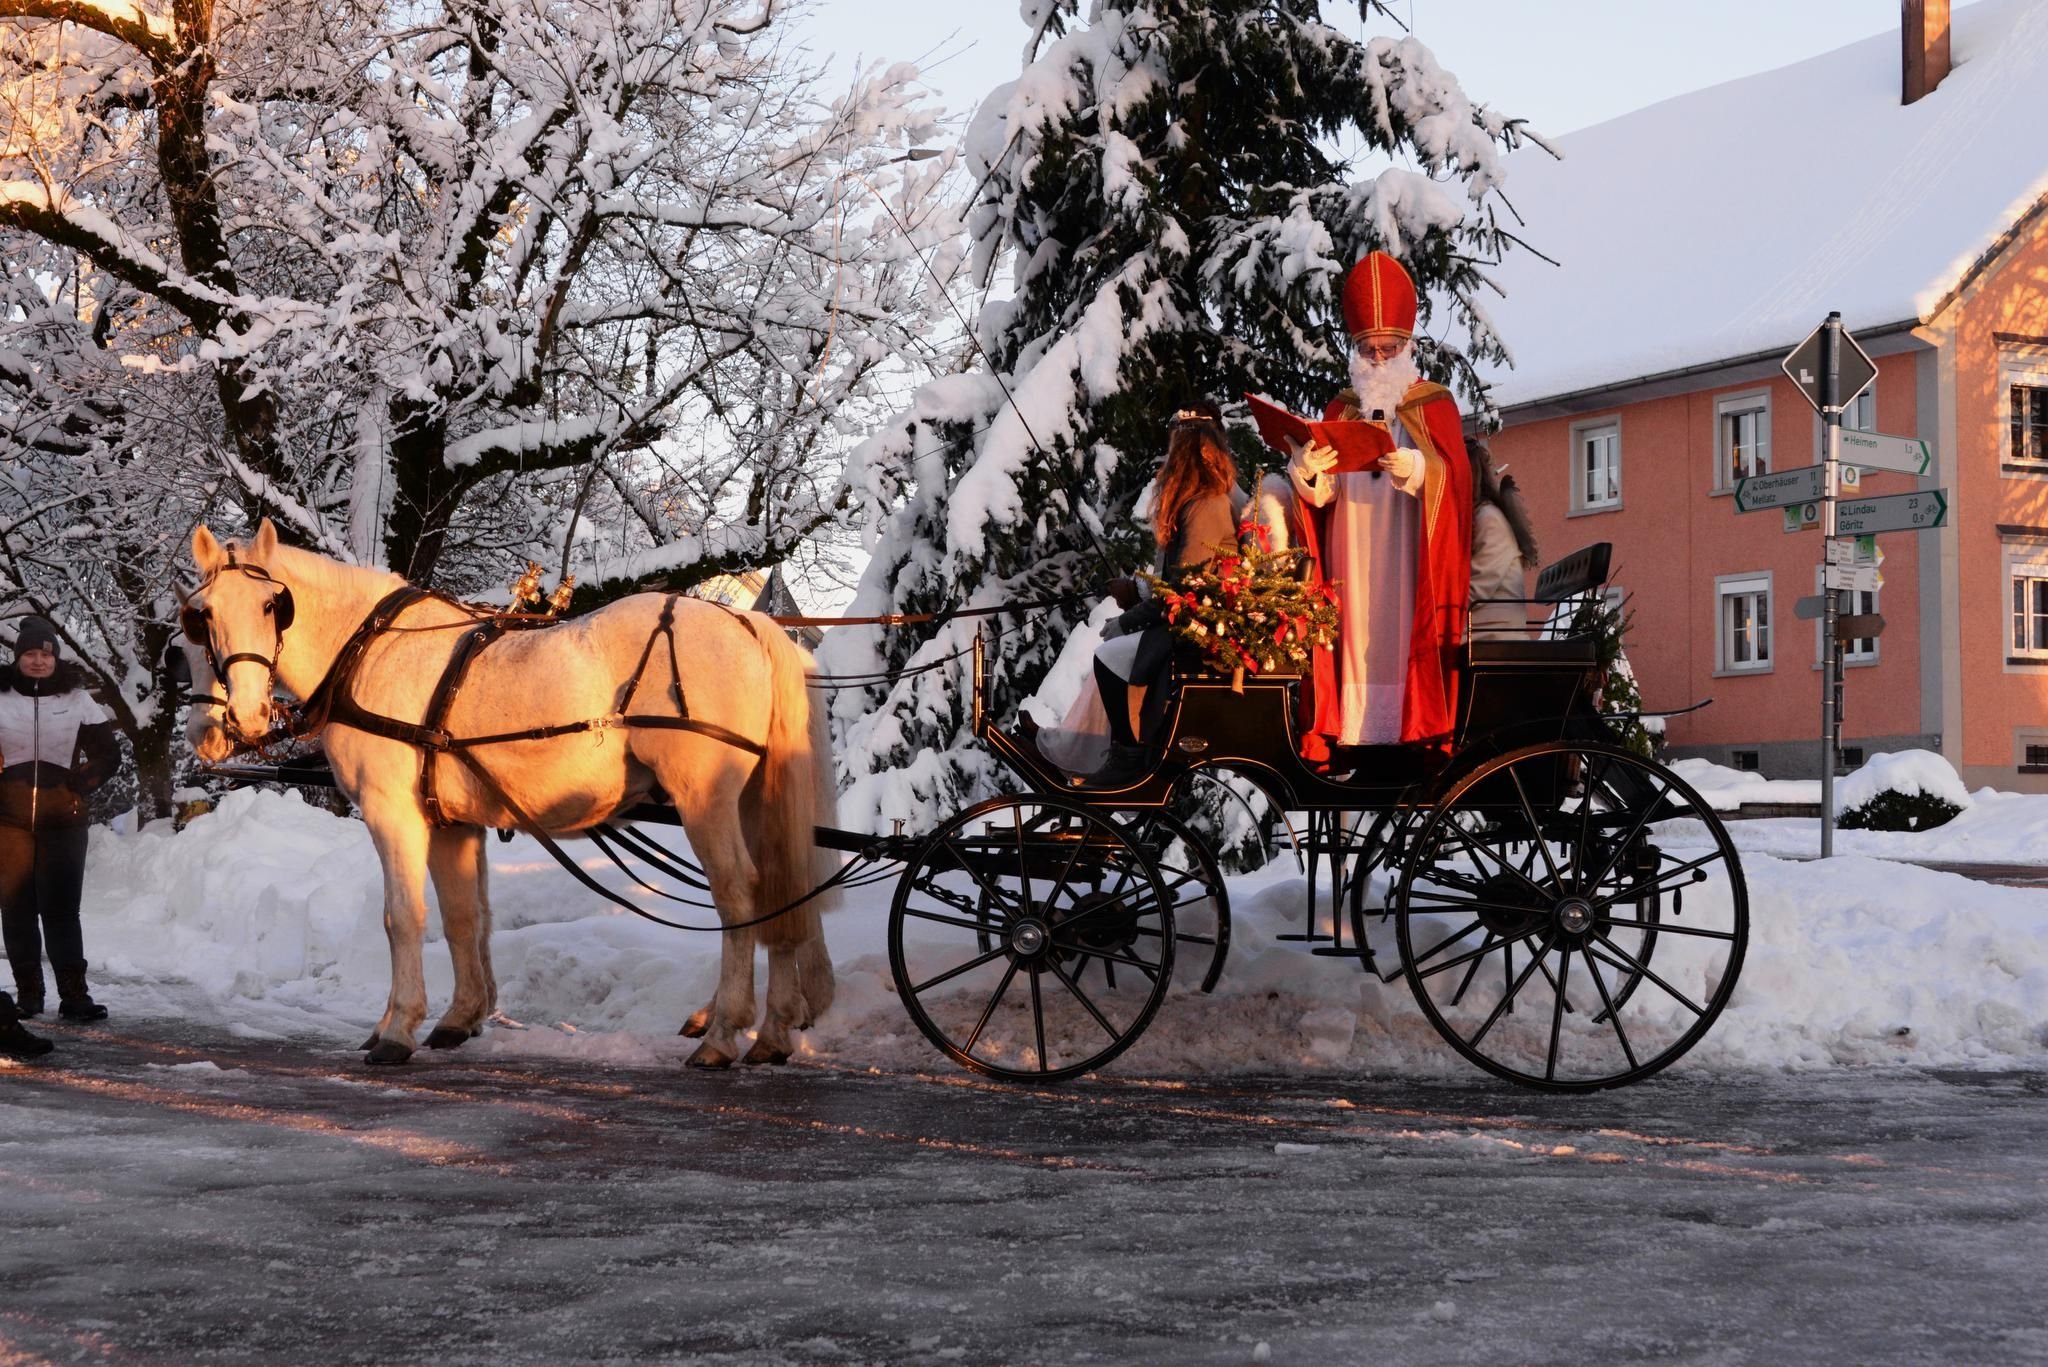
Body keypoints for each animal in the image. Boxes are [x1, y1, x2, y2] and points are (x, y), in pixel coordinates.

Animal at [184, 518, 835, 1065]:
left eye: (273, 606)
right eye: (201, 616)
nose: (230, 723)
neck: (369, 652)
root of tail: (746, 623)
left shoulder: (393, 813)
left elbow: (403, 916)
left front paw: (395, 1032)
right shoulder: (453, 824)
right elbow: (463, 916)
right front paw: (459, 1017)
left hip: (705, 799)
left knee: (738, 895)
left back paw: (724, 1034)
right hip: (751, 802)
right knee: (781, 889)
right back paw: (774, 1033)